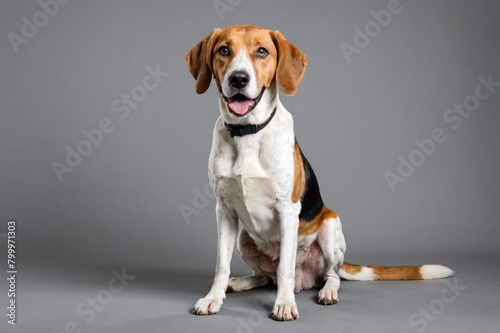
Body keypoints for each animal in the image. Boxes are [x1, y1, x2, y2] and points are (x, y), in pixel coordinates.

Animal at [187, 24, 454, 320]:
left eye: (262, 51)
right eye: (224, 50)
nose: (238, 79)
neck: (248, 132)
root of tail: (307, 280)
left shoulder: (287, 209)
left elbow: (285, 267)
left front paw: (284, 304)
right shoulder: (224, 210)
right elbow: (221, 265)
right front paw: (213, 298)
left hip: (330, 227)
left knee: (328, 276)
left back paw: (325, 292)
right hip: (244, 237)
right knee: (266, 276)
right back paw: (241, 283)